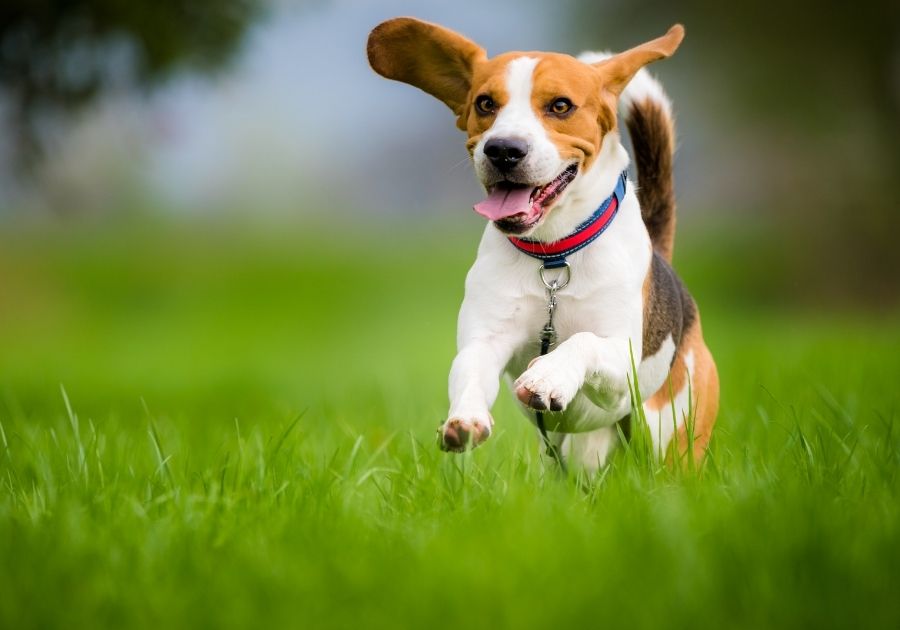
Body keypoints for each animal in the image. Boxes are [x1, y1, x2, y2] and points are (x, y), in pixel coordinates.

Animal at [366, 16, 716, 474]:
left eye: (560, 106)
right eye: (485, 104)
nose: (503, 149)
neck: (554, 258)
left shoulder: (622, 367)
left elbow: (583, 342)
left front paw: (547, 376)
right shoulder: (486, 337)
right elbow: (471, 368)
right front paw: (466, 419)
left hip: (672, 434)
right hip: (578, 454)